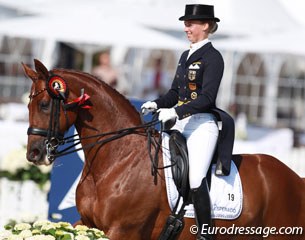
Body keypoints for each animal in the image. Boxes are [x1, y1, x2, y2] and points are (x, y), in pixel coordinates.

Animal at [23, 59, 304, 239]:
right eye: (29, 105)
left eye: (45, 104)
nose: (34, 153)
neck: (117, 159)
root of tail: (295, 179)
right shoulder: (86, 223)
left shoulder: (123, 231)